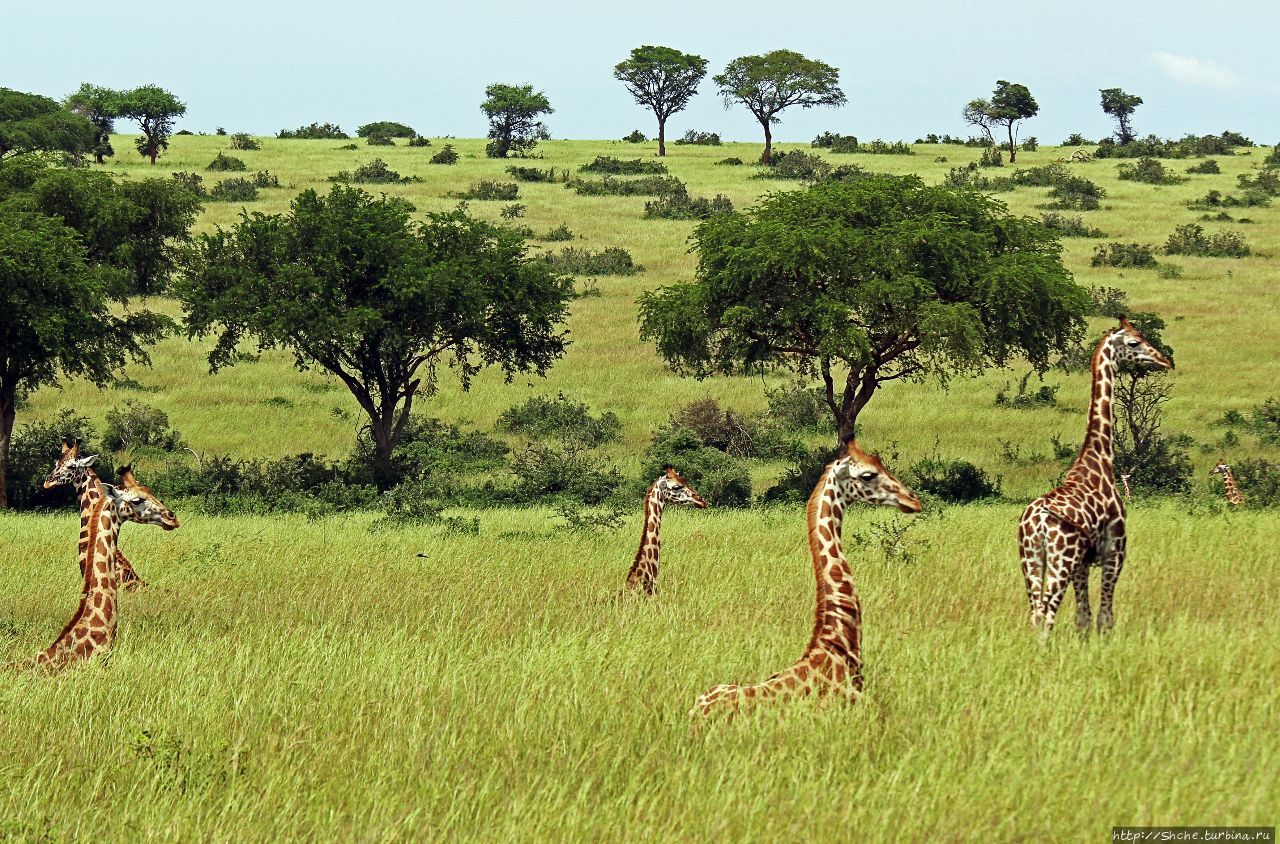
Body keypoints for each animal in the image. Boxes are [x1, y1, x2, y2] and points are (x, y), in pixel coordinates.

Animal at [1013, 320, 1172, 637]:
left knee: (1035, 611)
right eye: (1134, 342)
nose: (1165, 360)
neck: (1100, 458)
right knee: (1047, 610)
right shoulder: (1115, 552)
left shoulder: (1082, 564)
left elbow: (1082, 616)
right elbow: (1104, 616)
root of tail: (1037, 521)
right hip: (1061, 559)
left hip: (1030, 559)